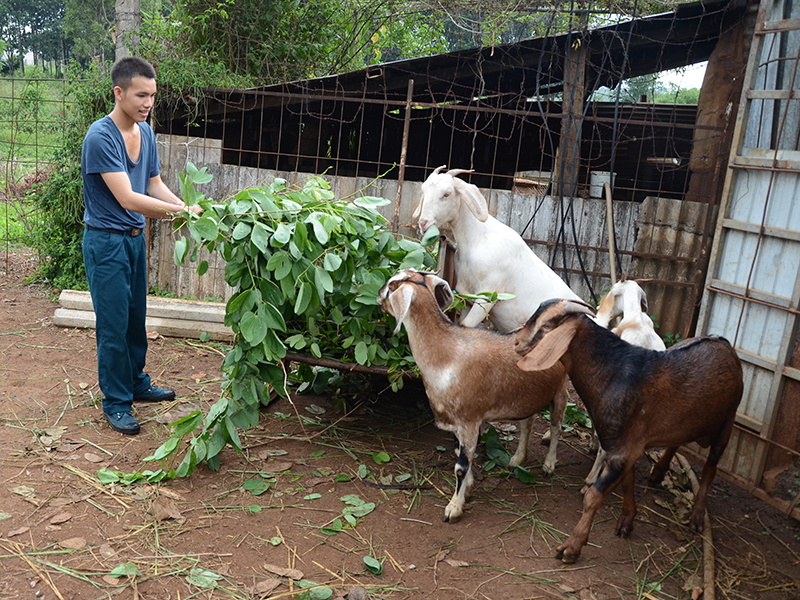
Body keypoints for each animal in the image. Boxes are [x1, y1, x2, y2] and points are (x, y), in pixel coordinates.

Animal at [376, 270, 568, 524]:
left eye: (392, 285)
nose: (378, 294)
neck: (446, 353)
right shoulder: (459, 424)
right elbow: (461, 455)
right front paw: (467, 488)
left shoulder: (469, 420)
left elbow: (460, 466)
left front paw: (454, 508)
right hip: (527, 395)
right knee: (528, 423)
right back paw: (518, 458)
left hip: (561, 389)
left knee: (556, 426)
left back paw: (549, 465)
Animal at [512, 298, 744, 564]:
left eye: (546, 326)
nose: (516, 342)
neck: (613, 375)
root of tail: (723, 342)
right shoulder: (625, 446)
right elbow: (627, 483)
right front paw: (626, 521)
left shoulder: (623, 451)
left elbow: (593, 496)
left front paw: (571, 548)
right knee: (678, 441)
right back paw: (658, 472)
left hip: (728, 420)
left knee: (711, 466)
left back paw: (697, 516)